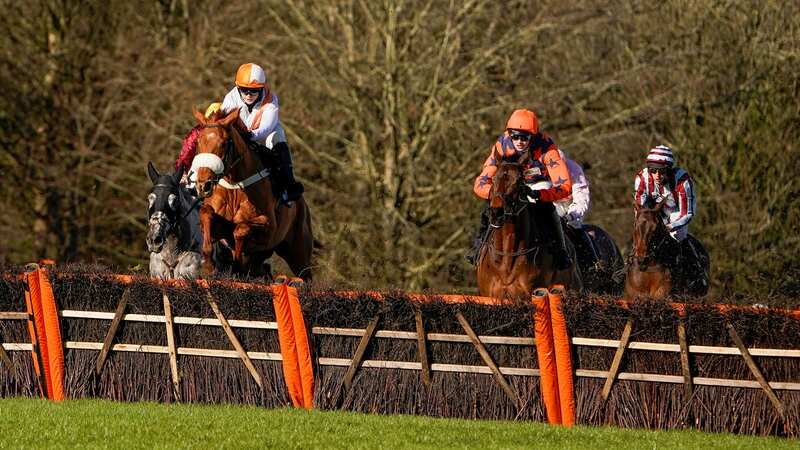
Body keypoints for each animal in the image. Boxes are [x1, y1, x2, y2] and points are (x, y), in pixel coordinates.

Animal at [189, 107, 314, 280]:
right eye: (199, 143)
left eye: (223, 144)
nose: (203, 185)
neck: (235, 186)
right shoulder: (219, 226)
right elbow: (206, 214)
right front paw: (209, 267)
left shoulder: (268, 228)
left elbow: (241, 229)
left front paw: (236, 266)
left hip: (299, 254)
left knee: (305, 275)